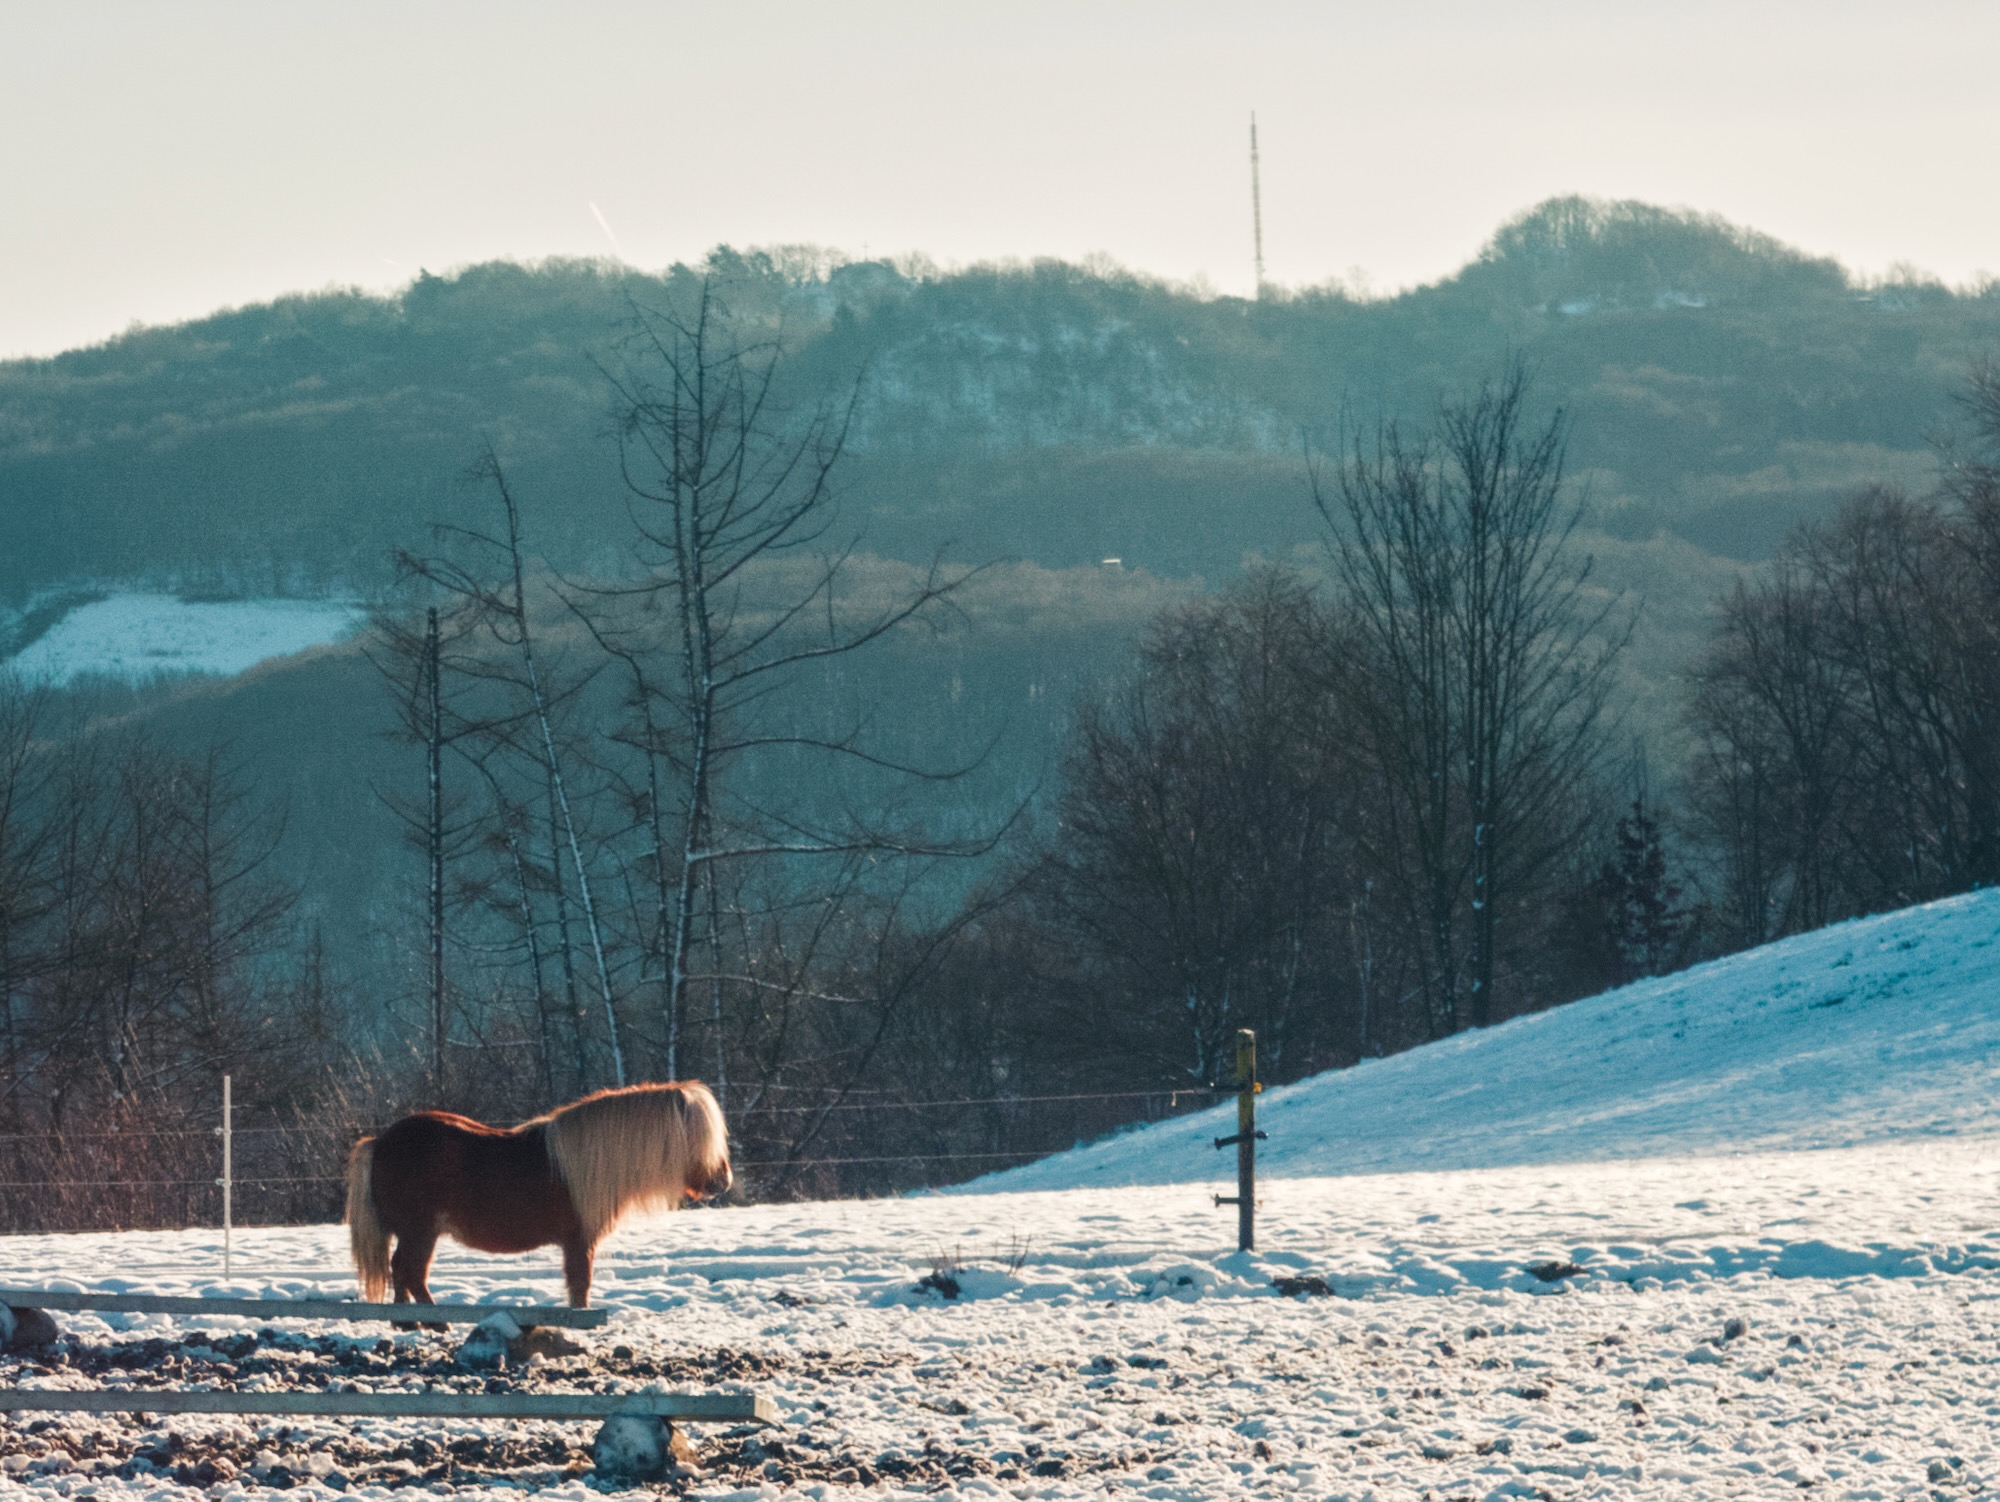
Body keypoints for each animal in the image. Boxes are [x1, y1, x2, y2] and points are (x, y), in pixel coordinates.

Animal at [344, 1081, 731, 1309]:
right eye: (698, 1136)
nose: (723, 1181)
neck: (588, 1162)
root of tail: (380, 1141)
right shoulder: (579, 1242)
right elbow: (580, 1286)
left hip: (419, 1234)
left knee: (402, 1271)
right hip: (420, 1232)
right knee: (410, 1272)